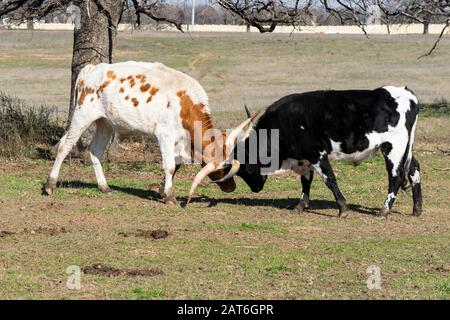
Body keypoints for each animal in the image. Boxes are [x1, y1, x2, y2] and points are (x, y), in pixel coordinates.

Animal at [189, 85, 422, 218]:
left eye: (244, 170)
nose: (256, 189)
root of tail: (406, 93)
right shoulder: (304, 159)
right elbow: (305, 182)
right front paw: (301, 205)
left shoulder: (317, 154)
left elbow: (329, 180)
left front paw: (342, 208)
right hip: (405, 148)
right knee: (414, 170)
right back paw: (417, 209)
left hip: (393, 148)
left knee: (395, 177)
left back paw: (384, 211)